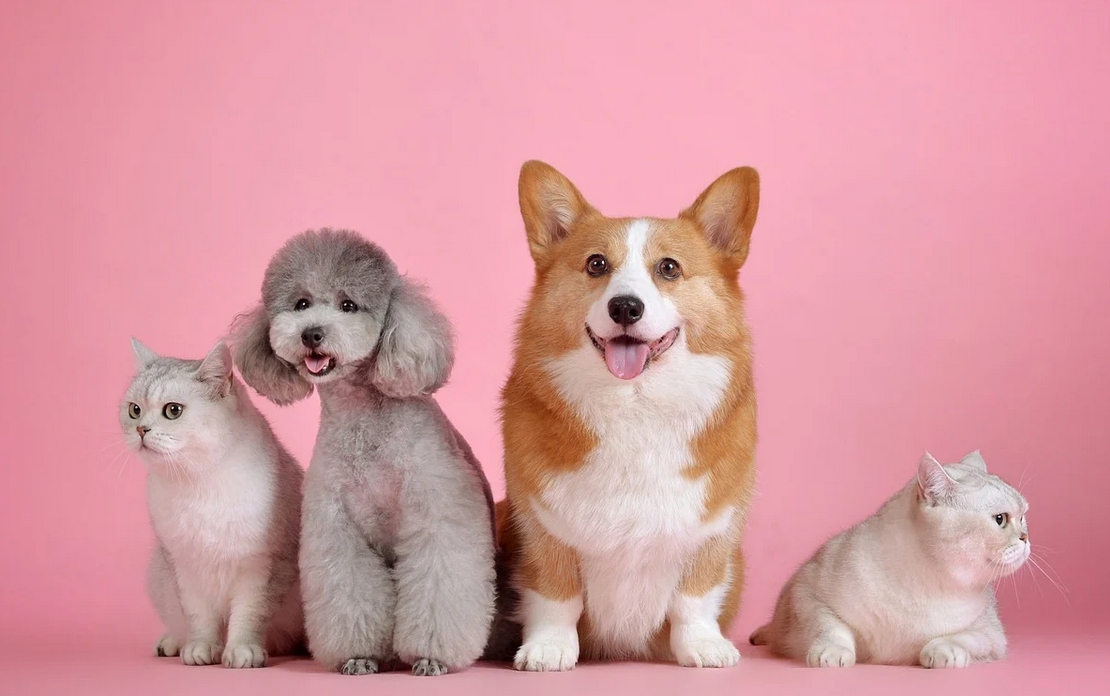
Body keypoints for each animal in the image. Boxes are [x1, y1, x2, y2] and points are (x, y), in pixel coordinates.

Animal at [499, 160, 759, 670]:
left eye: (669, 268)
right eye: (597, 264)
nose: (625, 307)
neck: (635, 405)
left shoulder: (715, 528)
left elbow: (694, 597)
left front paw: (703, 646)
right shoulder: (540, 527)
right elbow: (556, 595)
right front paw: (548, 649)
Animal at [750, 452, 1025, 670]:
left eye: (1023, 517)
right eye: (1000, 519)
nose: (1025, 537)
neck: (928, 582)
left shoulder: (992, 635)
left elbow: (961, 637)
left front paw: (942, 652)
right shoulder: (807, 593)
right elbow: (830, 627)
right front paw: (833, 653)